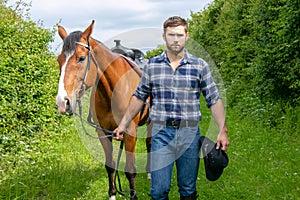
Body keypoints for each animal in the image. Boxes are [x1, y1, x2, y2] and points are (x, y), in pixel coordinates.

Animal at [54, 20, 150, 200]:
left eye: (81, 58)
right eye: (59, 60)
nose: (63, 102)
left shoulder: (130, 132)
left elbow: (130, 170)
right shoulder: (103, 132)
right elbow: (110, 166)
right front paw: (112, 194)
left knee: (149, 143)